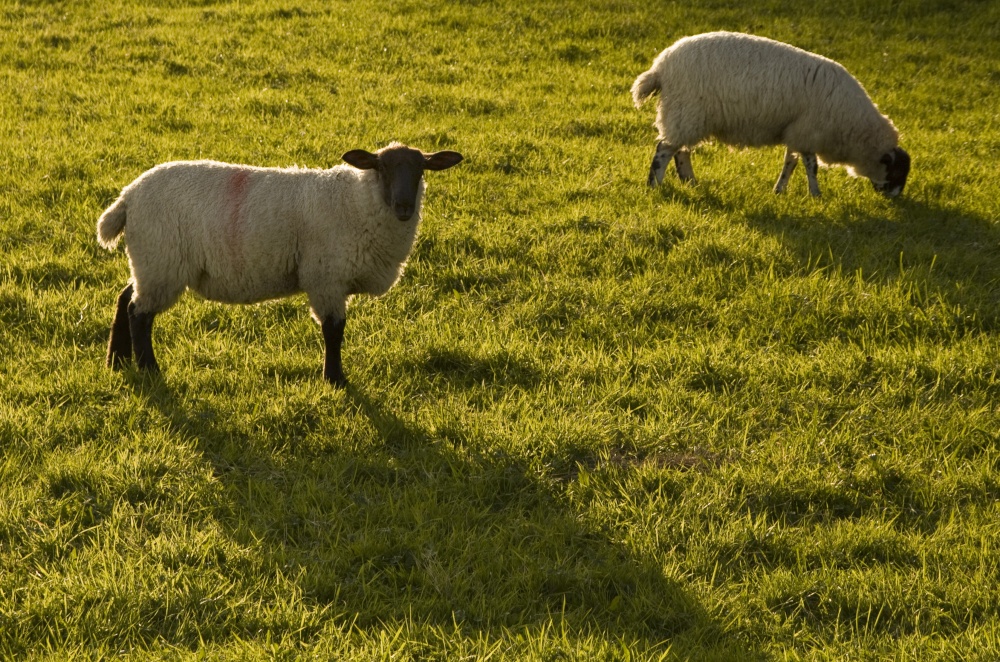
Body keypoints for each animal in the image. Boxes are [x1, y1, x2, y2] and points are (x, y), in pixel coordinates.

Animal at [97, 142, 464, 386]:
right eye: (382, 168)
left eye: (420, 170)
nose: (404, 207)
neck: (357, 202)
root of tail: (128, 197)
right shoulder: (325, 278)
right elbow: (334, 331)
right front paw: (335, 380)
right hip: (161, 261)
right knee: (139, 313)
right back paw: (149, 369)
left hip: (150, 261)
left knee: (125, 298)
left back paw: (117, 361)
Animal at [636, 31, 912, 197]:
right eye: (896, 171)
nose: (895, 199)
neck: (854, 128)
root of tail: (660, 67)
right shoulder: (809, 132)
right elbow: (811, 165)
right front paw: (815, 194)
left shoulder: (796, 131)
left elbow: (790, 162)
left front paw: (779, 190)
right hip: (686, 110)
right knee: (663, 150)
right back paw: (654, 185)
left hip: (688, 116)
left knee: (681, 151)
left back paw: (690, 181)